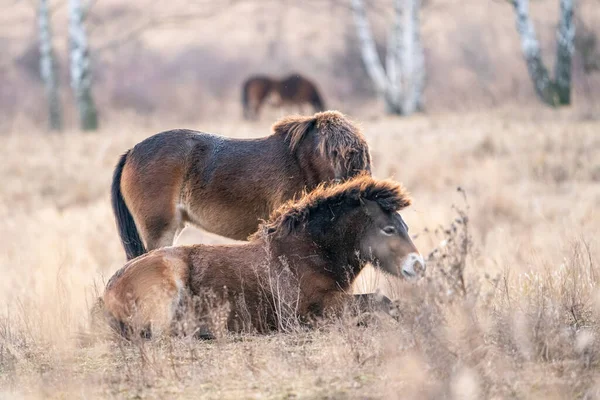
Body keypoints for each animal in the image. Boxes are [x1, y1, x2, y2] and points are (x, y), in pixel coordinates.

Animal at [101, 175, 424, 338]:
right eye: (388, 229)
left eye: (405, 227)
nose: (418, 266)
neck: (308, 252)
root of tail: (109, 291)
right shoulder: (305, 313)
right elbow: (377, 301)